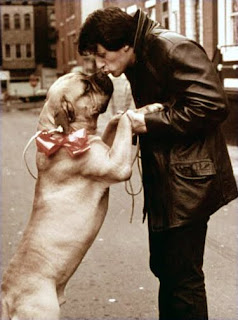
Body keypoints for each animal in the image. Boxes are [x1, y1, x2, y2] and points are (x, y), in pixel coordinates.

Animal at [0, 71, 133, 318]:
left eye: (87, 77)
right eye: (86, 87)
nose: (100, 72)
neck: (61, 135)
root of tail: (6, 298)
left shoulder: (105, 146)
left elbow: (112, 128)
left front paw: (119, 116)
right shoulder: (117, 164)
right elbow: (124, 128)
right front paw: (137, 113)